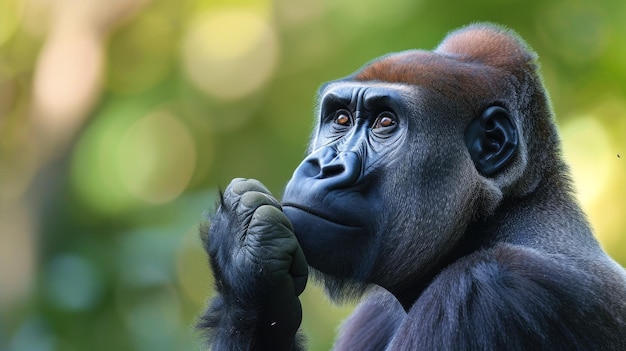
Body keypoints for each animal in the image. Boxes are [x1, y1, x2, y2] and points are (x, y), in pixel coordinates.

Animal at [197, 23, 624, 350]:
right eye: (341, 118)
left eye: (386, 122)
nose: (324, 166)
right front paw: (244, 264)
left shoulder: (484, 288)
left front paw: (246, 268)